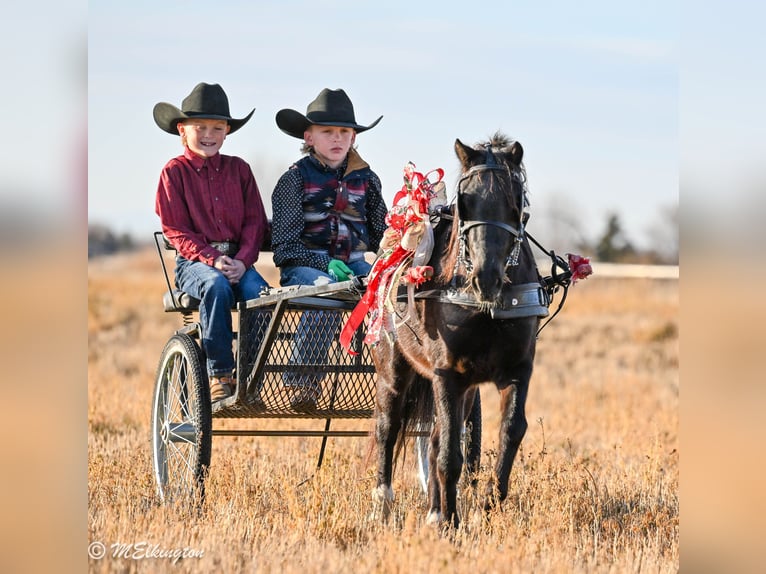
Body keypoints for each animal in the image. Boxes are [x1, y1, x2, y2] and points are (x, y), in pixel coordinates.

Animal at [370, 133, 550, 529]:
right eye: (465, 201)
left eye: (515, 202)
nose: (486, 277)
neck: (486, 308)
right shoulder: (446, 373)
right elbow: (451, 452)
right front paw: (451, 522)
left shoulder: (517, 370)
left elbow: (510, 431)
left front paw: (487, 503)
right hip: (393, 369)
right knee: (388, 427)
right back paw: (384, 502)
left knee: (435, 436)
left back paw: (434, 510)